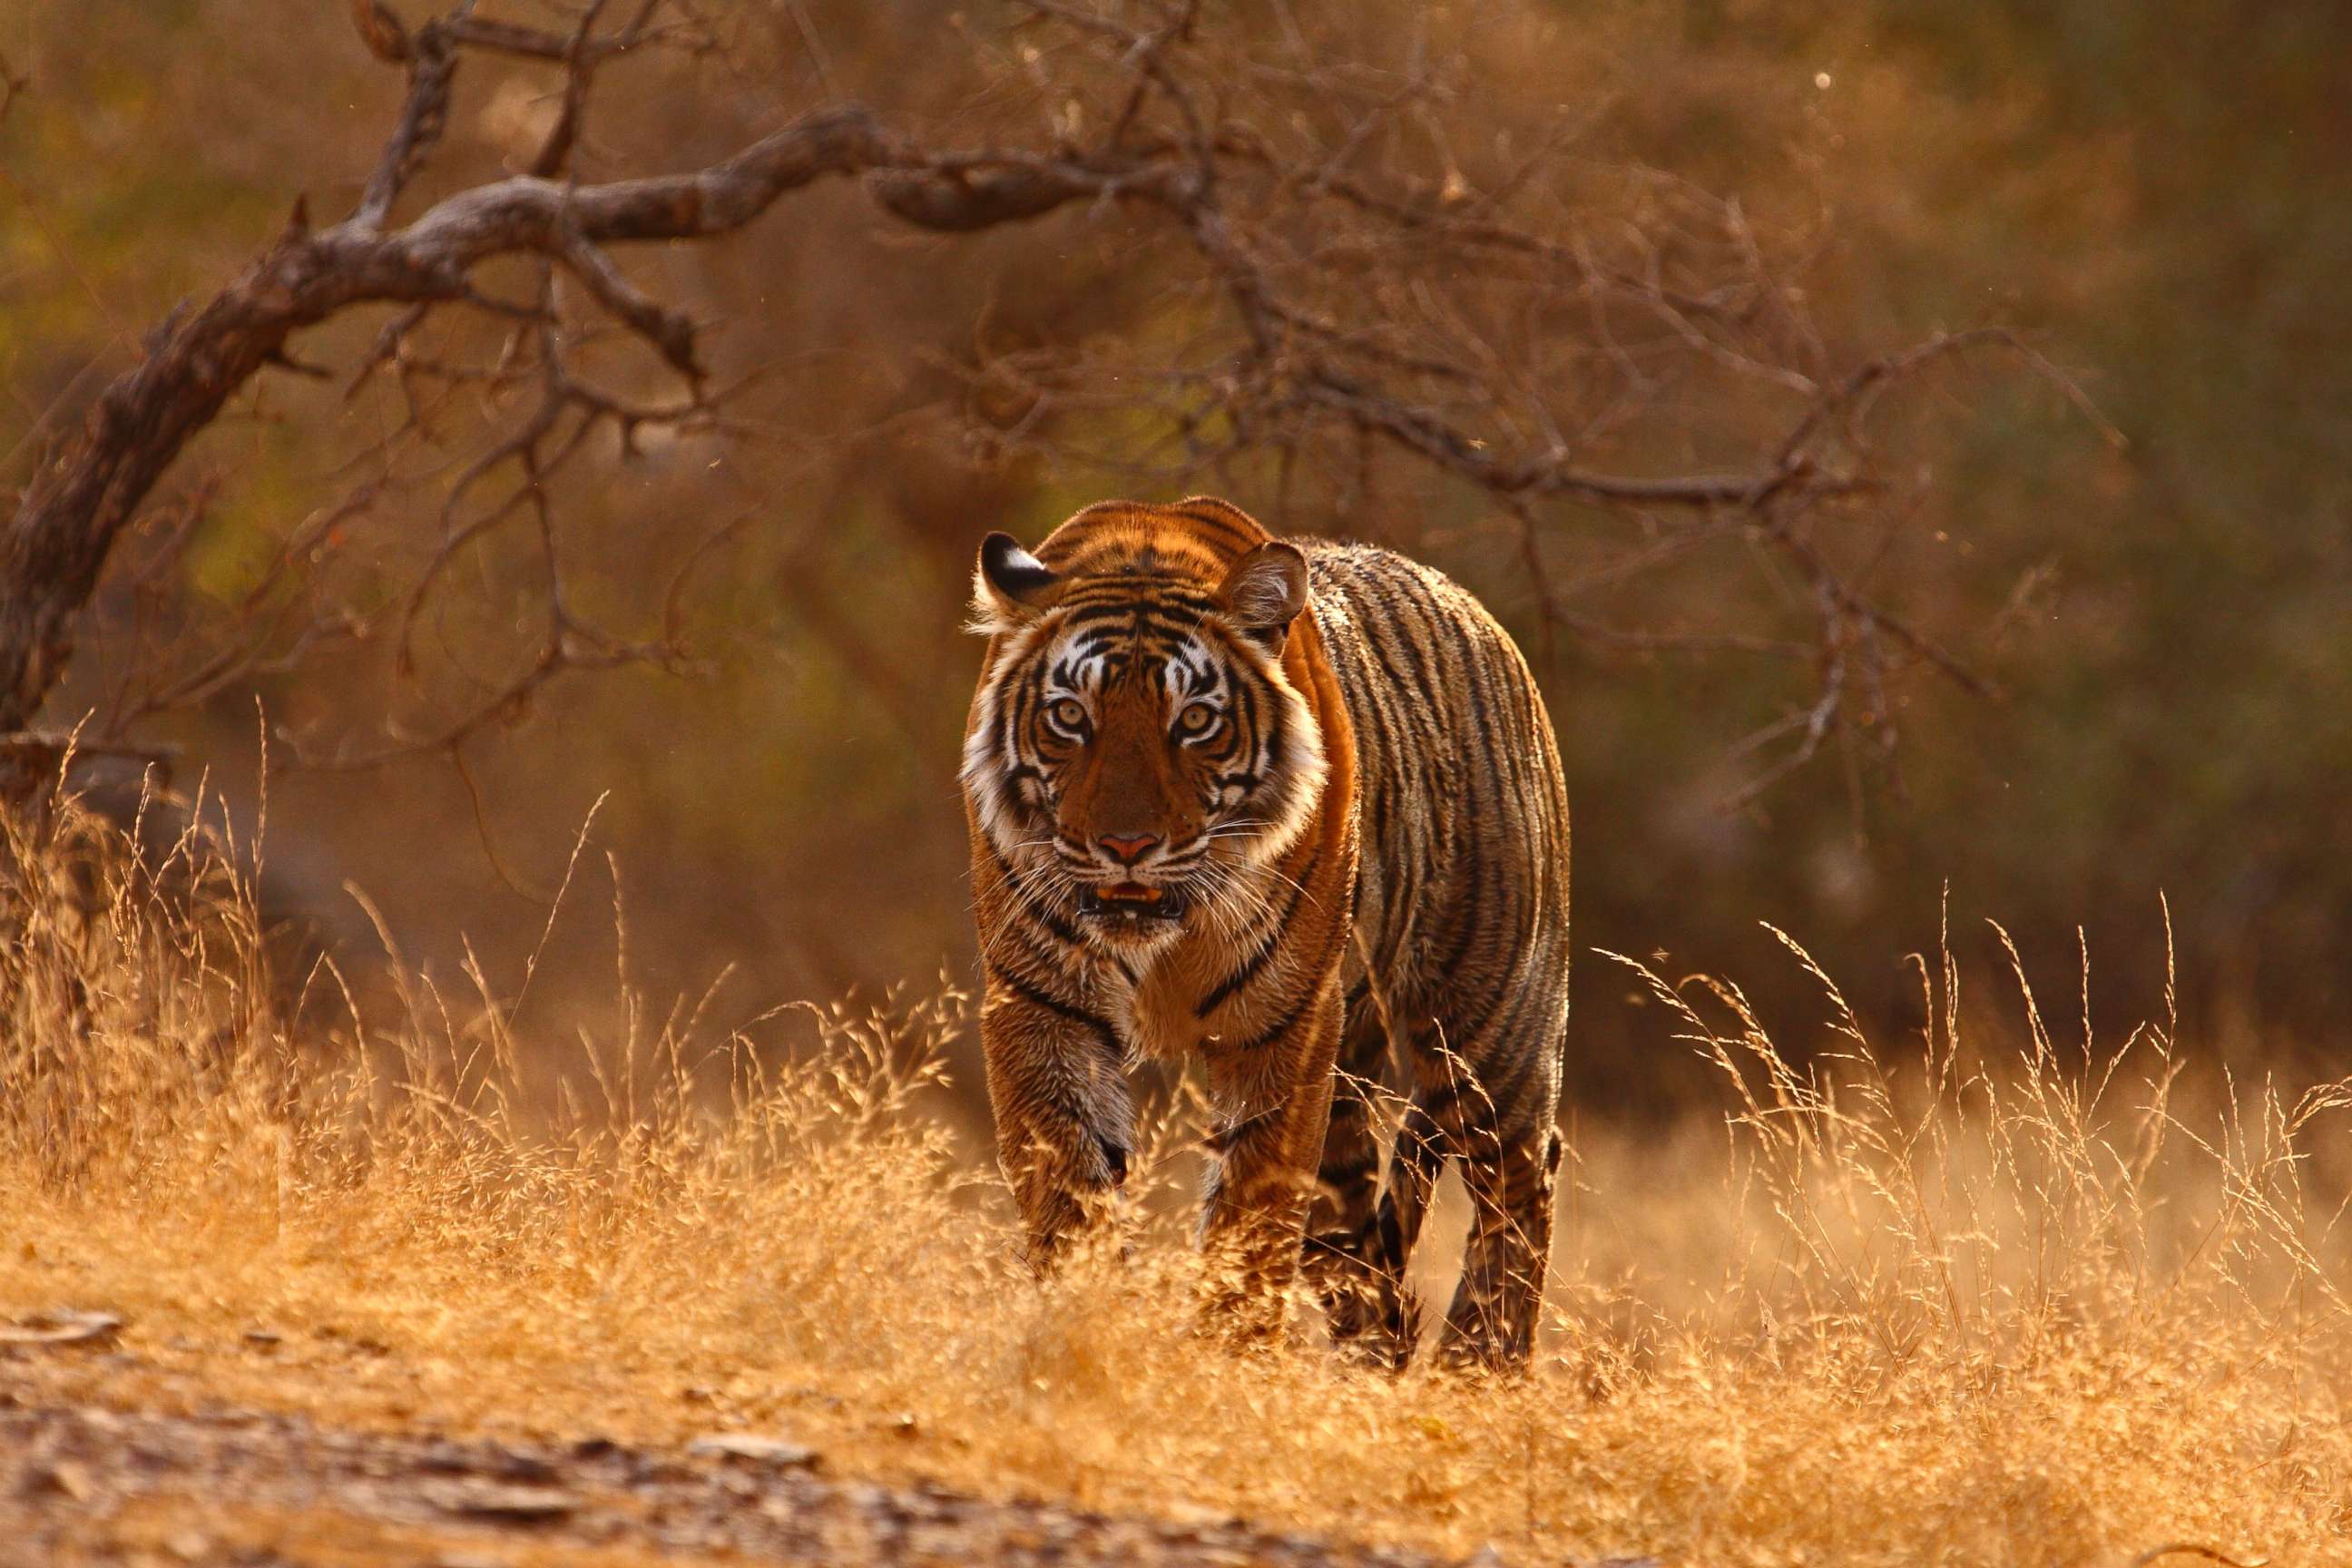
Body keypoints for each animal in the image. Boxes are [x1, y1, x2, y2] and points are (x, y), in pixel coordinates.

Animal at [964, 495, 1571, 1363]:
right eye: (1071, 717)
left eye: (1194, 721)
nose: (1126, 847)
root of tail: (1475, 610)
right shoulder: (1041, 1006)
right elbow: (1070, 1189)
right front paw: (1088, 1325)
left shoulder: (1282, 1023)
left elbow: (1250, 1214)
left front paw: (1226, 1358)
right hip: (1357, 1088)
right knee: (1360, 1242)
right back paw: (1375, 1364)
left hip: (1489, 1015)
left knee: (1522, 1182)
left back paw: (1479, 1363)